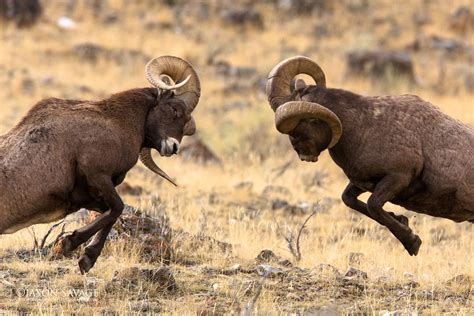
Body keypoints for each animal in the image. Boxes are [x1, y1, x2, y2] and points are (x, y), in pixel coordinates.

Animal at [0, 55, 201, 272]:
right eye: (175, 109)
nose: (173, 147)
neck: (117, 122)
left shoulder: (87, 197)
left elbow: (110, 214)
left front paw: (86, 259)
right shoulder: (97, 176)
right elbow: (118, 208)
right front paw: (69, 246)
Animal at [266, 55, 474, 256]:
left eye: (299, 127)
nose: (304, 155)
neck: (362, 126)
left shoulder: (398, 177)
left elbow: (373, 205)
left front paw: (412, 242)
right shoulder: (362, 183)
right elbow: (351, 200)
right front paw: (401, 220)